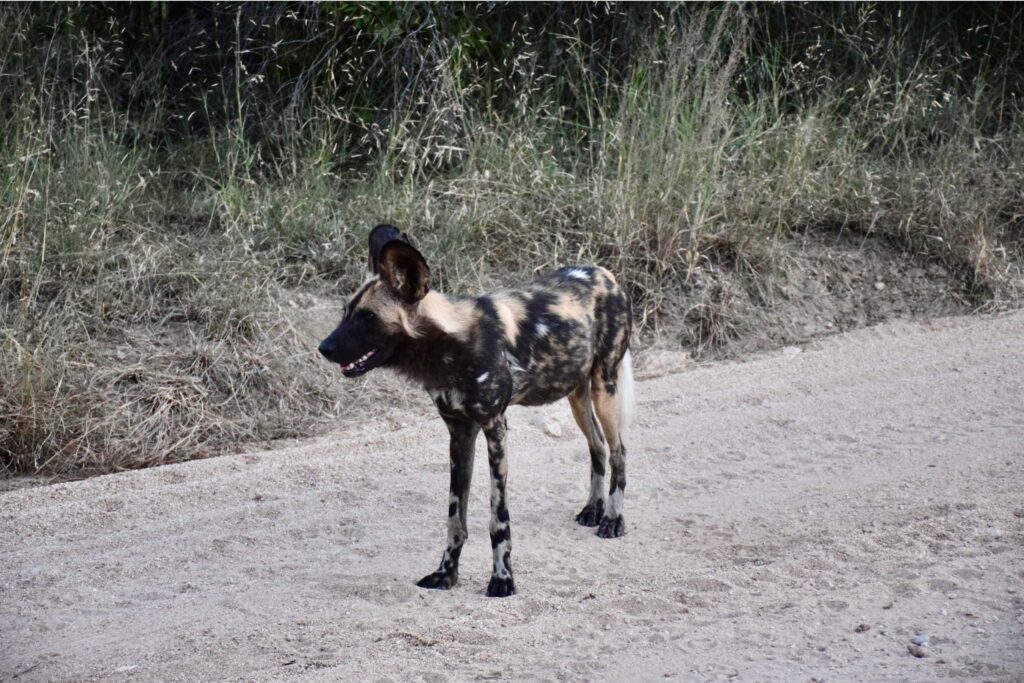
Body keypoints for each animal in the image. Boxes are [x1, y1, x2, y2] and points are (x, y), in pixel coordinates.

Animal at [319, 225, 630, 598]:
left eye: (368, 317)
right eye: (345, 312)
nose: (323, 348)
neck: (450, 347)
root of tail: (604, 273)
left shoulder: (495, 428)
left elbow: (498, 520)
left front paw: (502, 579)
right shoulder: (459, 432)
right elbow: (455, 517)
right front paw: (446, 574)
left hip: (604, 390)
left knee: (619, 451)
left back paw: (613, 519)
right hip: (577, 396)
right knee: (597, 446)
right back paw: (593, 510)